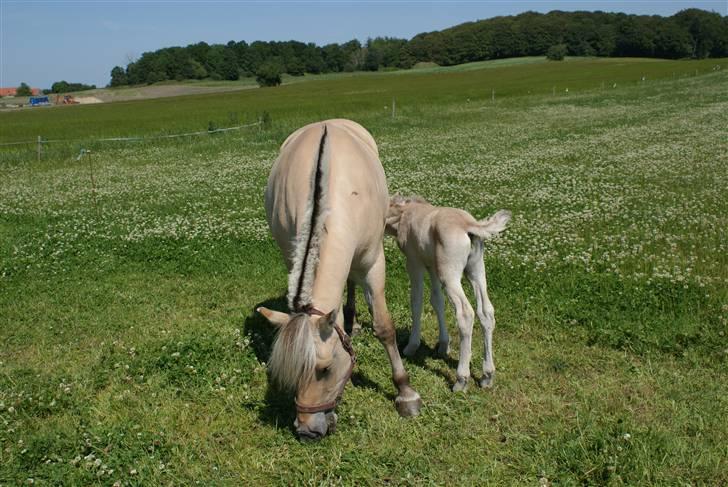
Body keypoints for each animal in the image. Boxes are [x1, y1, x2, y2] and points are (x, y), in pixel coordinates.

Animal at [258, 119, 424, 442]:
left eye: (324, 369)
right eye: (291, 372)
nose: (307, 431)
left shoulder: (373, 263)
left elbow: (384, 327)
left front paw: (405, 393)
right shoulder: (292, 258)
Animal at [384, 196, 510, 390]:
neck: (403, 214)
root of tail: (468, 224)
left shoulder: (414, 262)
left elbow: (416, 301)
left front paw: (411, 346)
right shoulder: (432, 267)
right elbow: (437, 300)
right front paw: (443, 346)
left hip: (449, 274)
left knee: (465, 313)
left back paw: (461, 380)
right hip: (476, 269)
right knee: (486, 311)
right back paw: (487, 376)